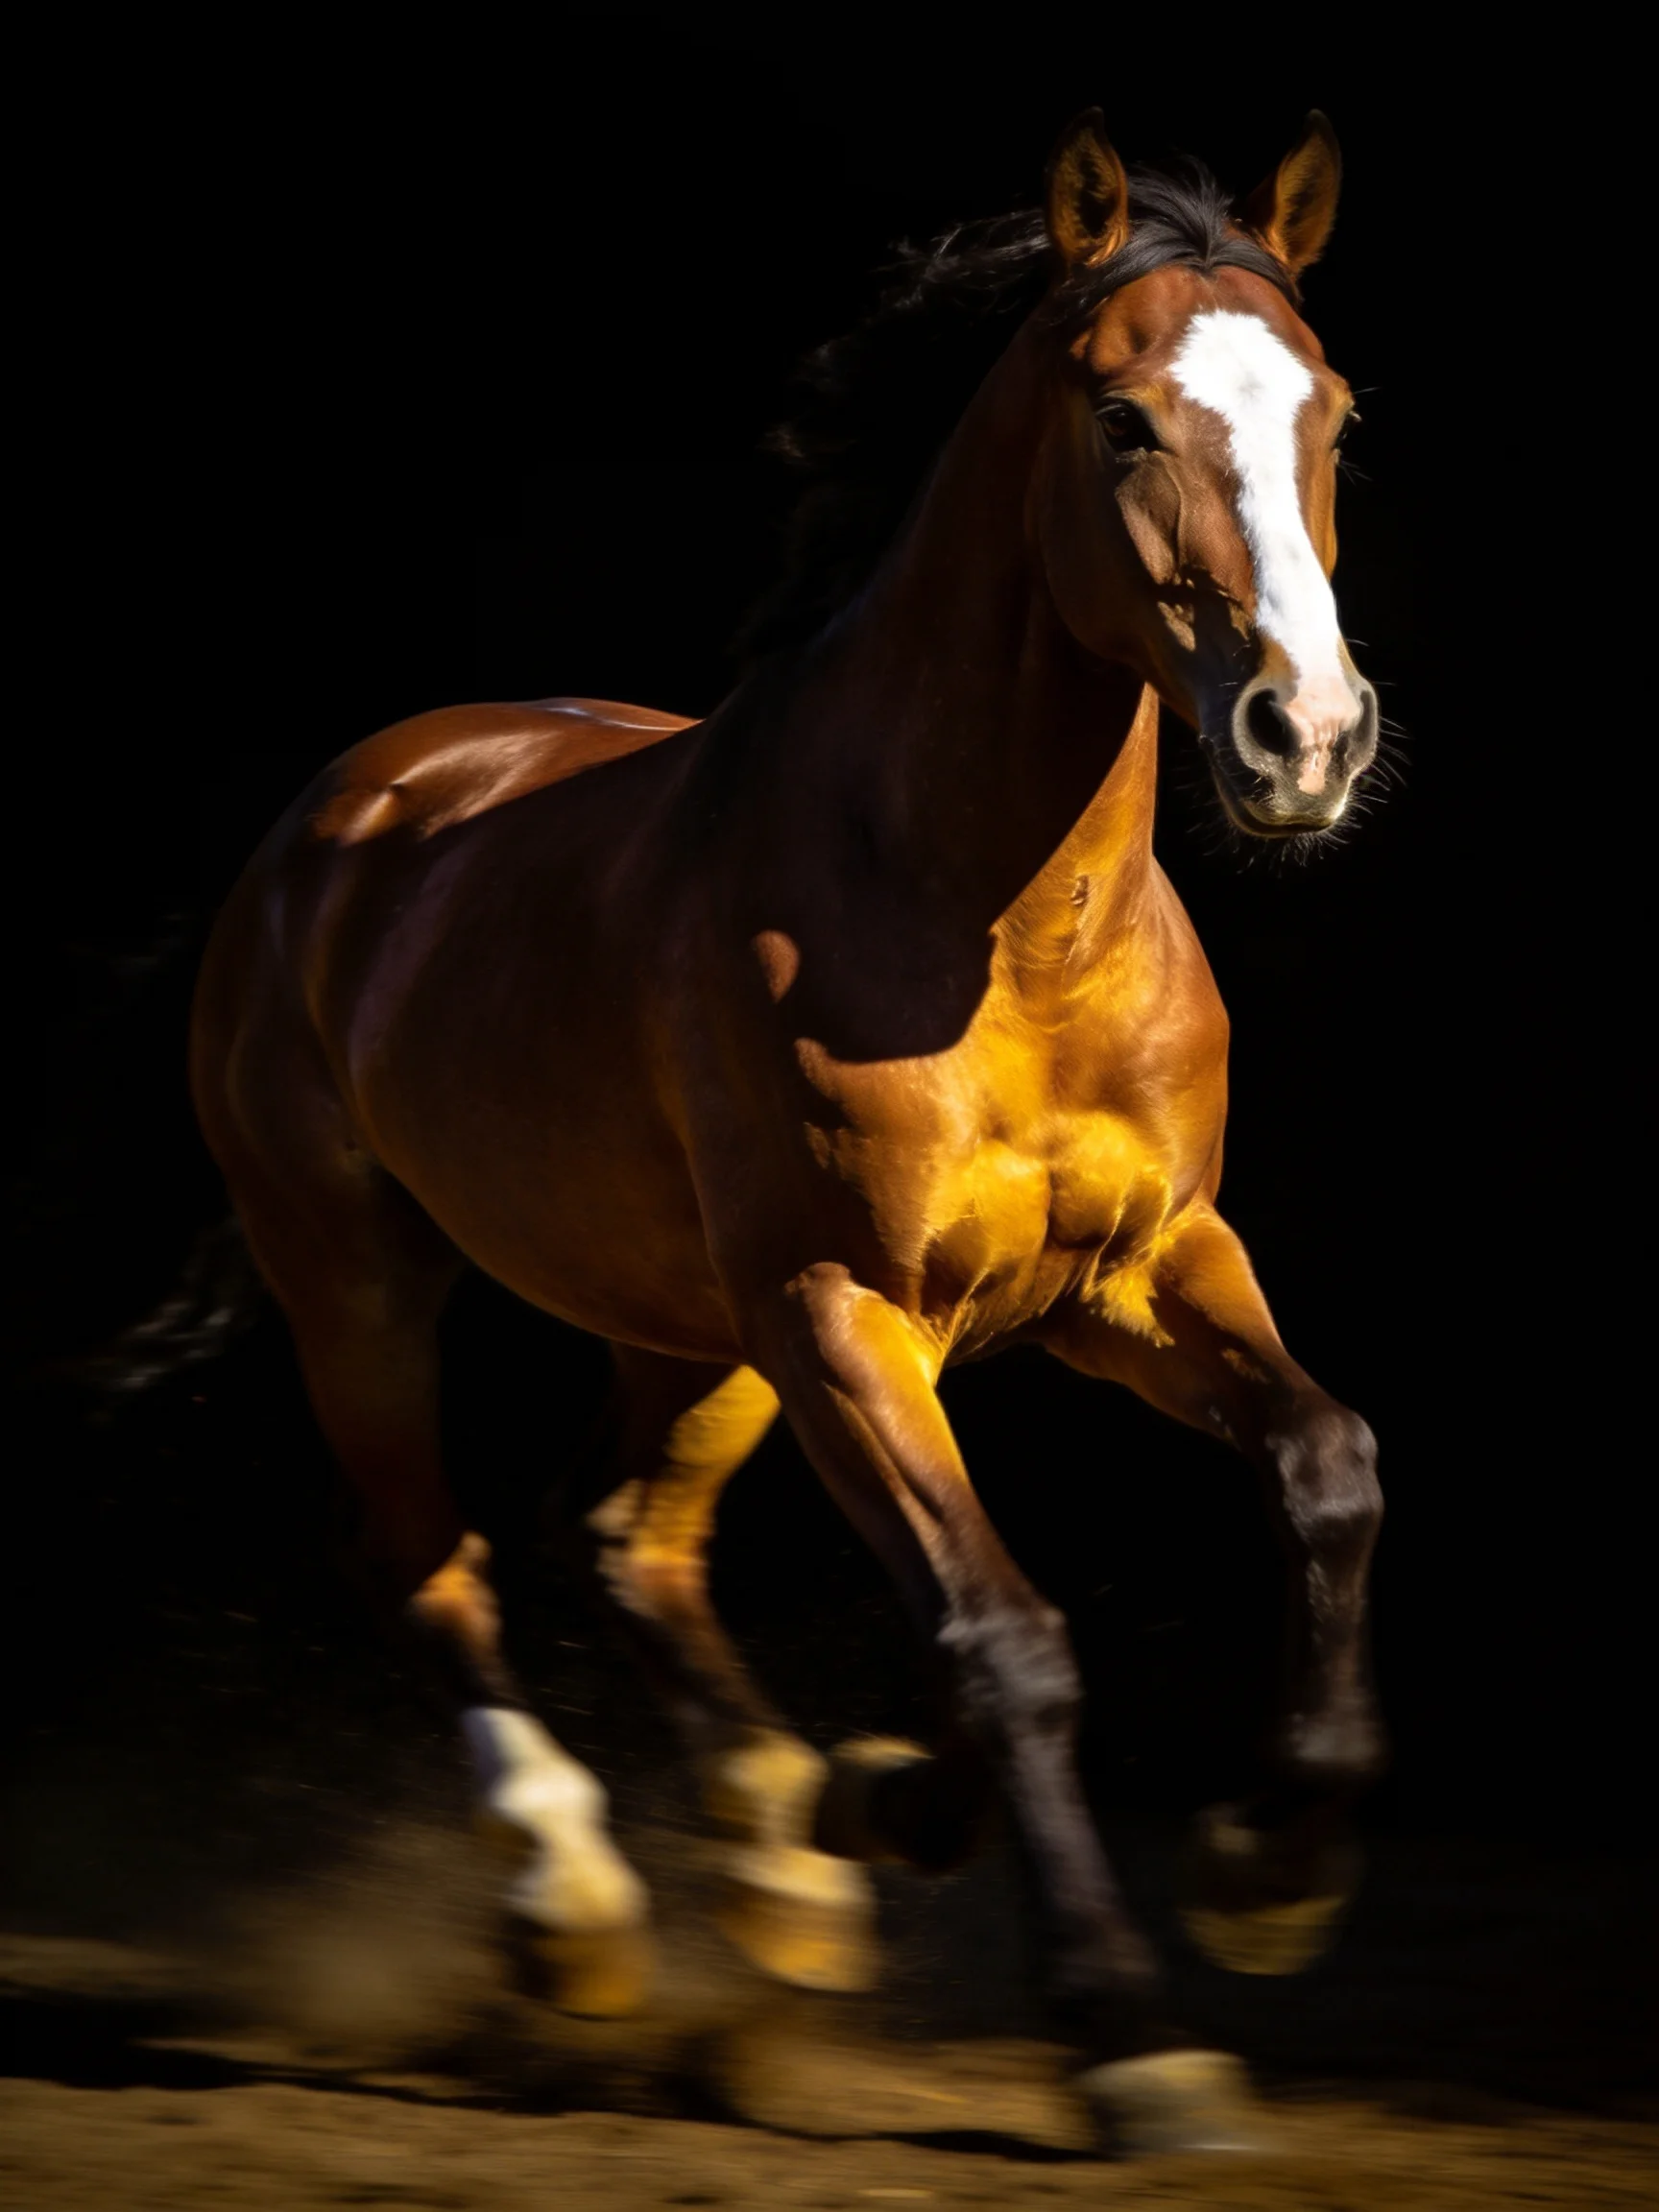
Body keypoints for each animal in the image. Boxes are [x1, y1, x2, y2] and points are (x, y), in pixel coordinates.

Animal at [190, 109, 1387, 2154]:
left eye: (1331, 412)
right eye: (1121, 416)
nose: (1300, 737)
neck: (989, 921)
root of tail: (344, 815)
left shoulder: (1141, 1273)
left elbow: (1325, 1465)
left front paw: (1262, 1865)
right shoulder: (847, 1305)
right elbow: (1003, 1635)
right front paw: (1125, 2029)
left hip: (689, 1330)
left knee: (622, 1537)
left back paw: (793, 1845)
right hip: (367, 1282)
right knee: (429, 1554)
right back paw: (582, 1900)